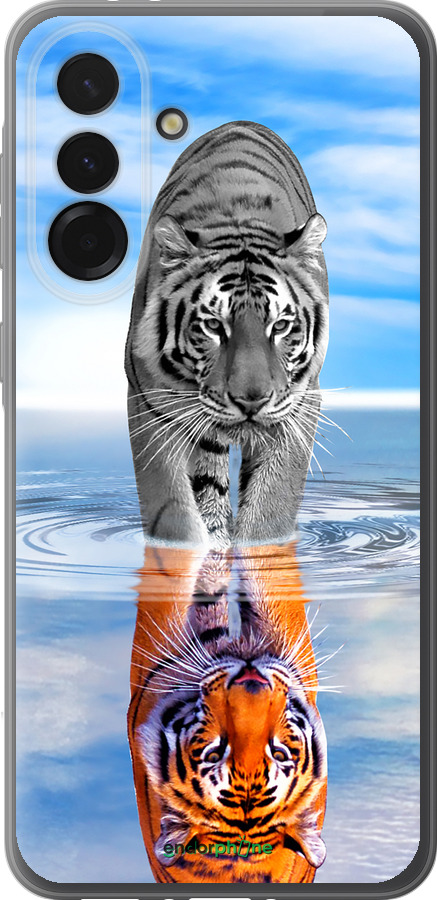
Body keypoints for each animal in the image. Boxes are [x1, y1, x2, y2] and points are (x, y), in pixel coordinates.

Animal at [125, 121, 329, 548]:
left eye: (280, 326)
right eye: (213, 326)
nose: (251, 401)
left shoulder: (300, 404)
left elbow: (271, 508)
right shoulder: (148, 401)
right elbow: (173, 510)